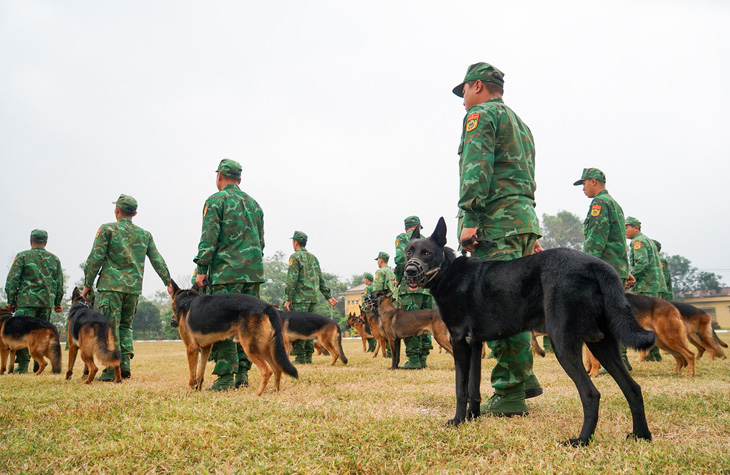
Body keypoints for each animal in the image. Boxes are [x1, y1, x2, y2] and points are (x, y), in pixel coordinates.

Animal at [169, 280, 298, 396]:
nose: (172, 322)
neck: (186, 300)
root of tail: (268, 306)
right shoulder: (205, 349)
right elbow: (200, 373)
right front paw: (198, 390)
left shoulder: (191, 349)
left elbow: (192, 374)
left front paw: (189, 391)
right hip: (265, 348)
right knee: (277, 369)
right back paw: (275, 390)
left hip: (251, 348)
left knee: (267, 371)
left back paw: (258, 393)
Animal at [404, 218, 656, 448]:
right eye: (408, 252)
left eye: (427, 253)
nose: (410, 271)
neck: (448, 272)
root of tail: (597, 265)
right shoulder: (474, 345)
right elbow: (474, 387)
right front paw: (472, 418)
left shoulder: (459, 342)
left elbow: (461, 388)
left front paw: (457, 421)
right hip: (603, 345)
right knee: (633, 388)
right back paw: (641, 435)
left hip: (562, 343)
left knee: (591, 394)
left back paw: (581, 440)